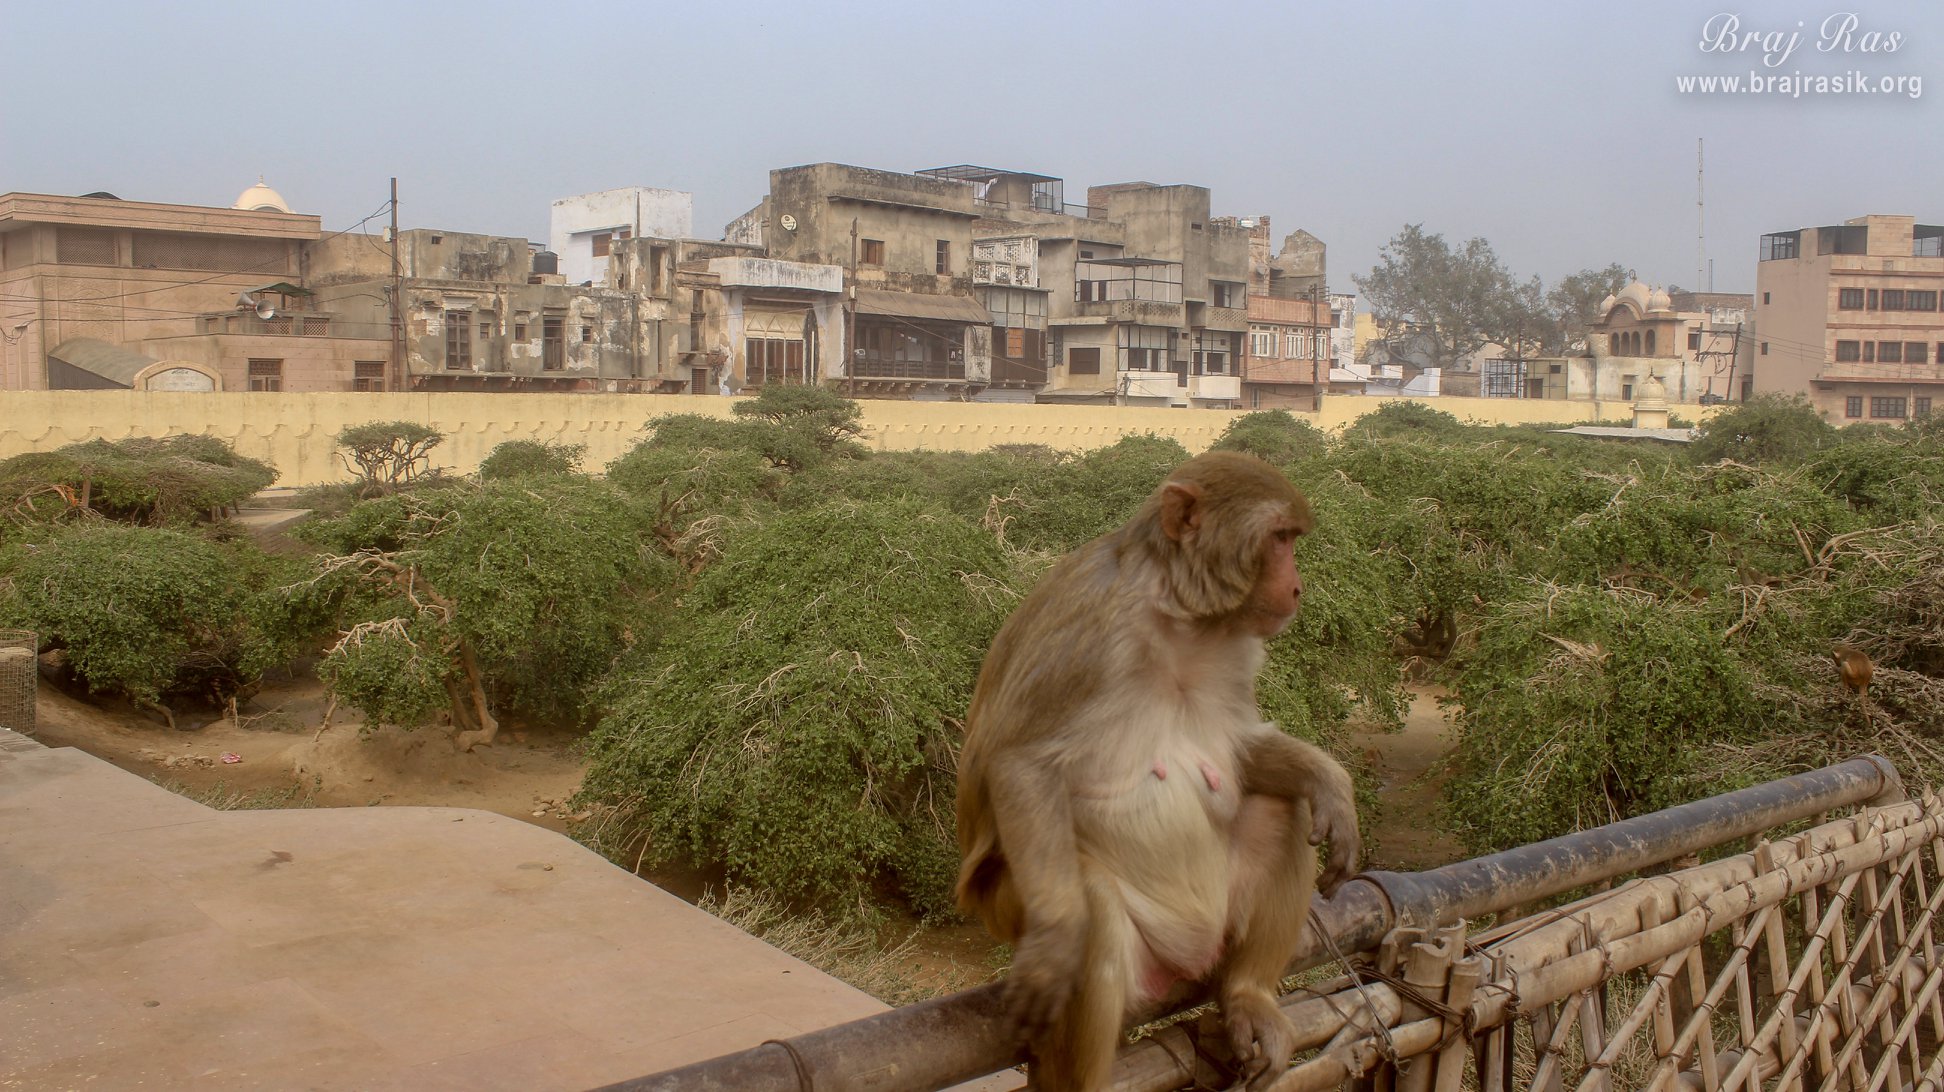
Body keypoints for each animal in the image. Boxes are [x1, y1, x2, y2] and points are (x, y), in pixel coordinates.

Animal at [955, 450, 1360, 1091]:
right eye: (1279, 539)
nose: (1296, 587)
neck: (1182, 616)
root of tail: (1182, 965)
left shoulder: (1238, 645)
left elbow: (1239, 754)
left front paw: (1331, 785)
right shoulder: (1092, 627)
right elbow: (1021, 763)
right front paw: (1058, 937)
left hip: (1218, 926)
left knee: (1283, 808)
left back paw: (1249, 996)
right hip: (1009, 907)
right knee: (1094, 905)